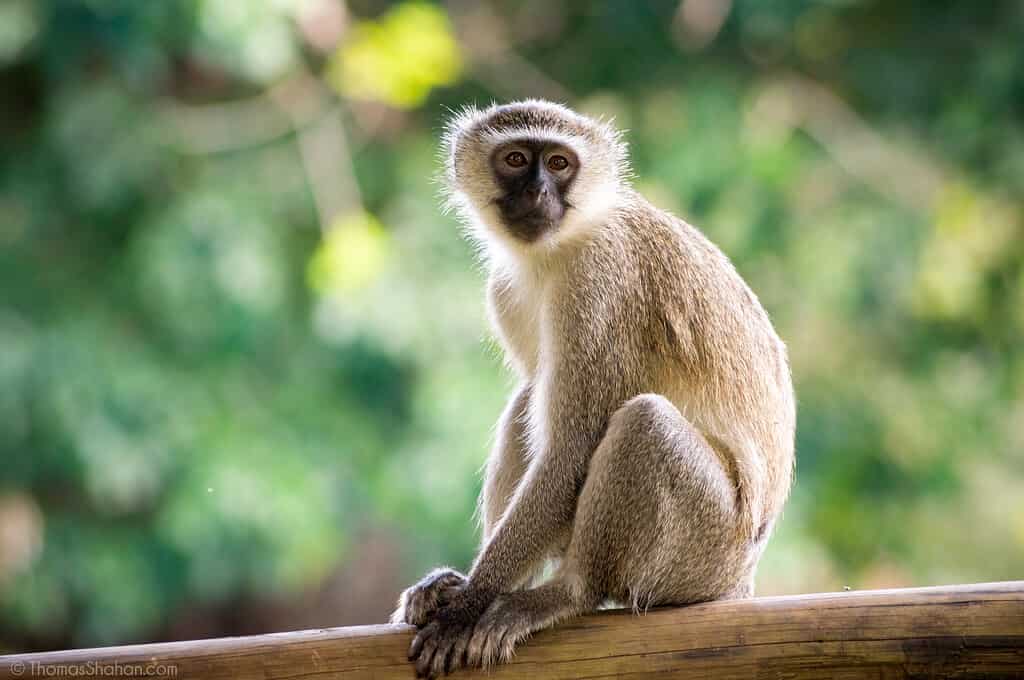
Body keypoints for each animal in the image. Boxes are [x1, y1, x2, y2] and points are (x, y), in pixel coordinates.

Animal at [387, 98, 794, 675]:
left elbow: (572, 451)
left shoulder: (598, 282)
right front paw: (461, 588)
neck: (561, 245)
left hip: (708, 548)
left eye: (559, 164)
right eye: (516, 159)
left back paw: (568, 593)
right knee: (530, 399)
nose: (538, 192)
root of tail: (741, 580)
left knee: (644, 424)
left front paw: (467, 606)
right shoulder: (504, 289)